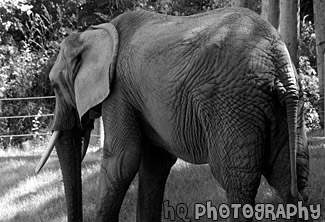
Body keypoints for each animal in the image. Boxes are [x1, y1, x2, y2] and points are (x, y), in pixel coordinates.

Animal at [34, 6, 308, 222]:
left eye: (54, 86)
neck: (94, 32)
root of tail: (278, 60)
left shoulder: (118, 91)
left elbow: (122, 160)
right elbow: (154, 164)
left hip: (233, 104)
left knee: (238, 182)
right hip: (285, 109)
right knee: (291, 177)